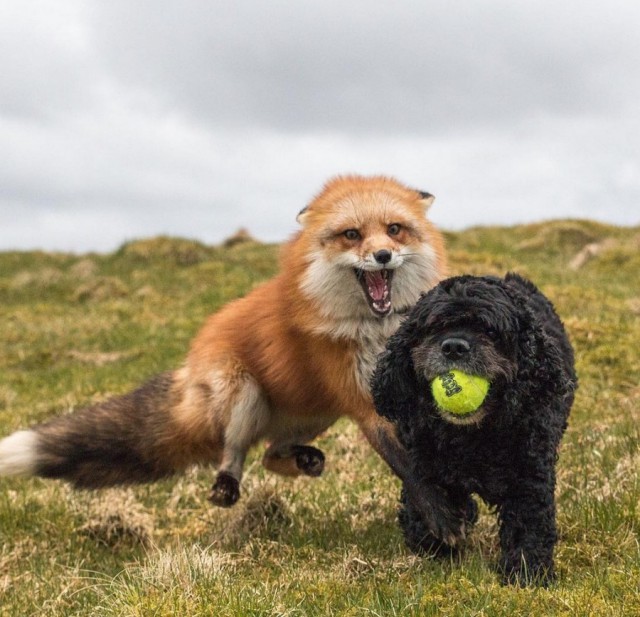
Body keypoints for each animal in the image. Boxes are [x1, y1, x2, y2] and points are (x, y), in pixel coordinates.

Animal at [0, 174, 448, 510]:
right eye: (352, 234)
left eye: (394, 230)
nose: (383, 255)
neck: (374, 331)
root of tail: (192, 360)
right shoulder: (364, 402)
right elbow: (410, 469)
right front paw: (446, 525)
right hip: (244, 394)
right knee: (237, 449)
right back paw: (226, 486)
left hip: (319, 408)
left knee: (270, 453)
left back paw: (300, 458)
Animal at [370, 274, 576, 584]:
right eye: (436, 327)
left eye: (490, 331)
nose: (454, 346)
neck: (472, 437)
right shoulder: (423, 460)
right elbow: (426, 498)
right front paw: (437, 540)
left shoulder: (530, 472)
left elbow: (529, 522)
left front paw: (527, 573)